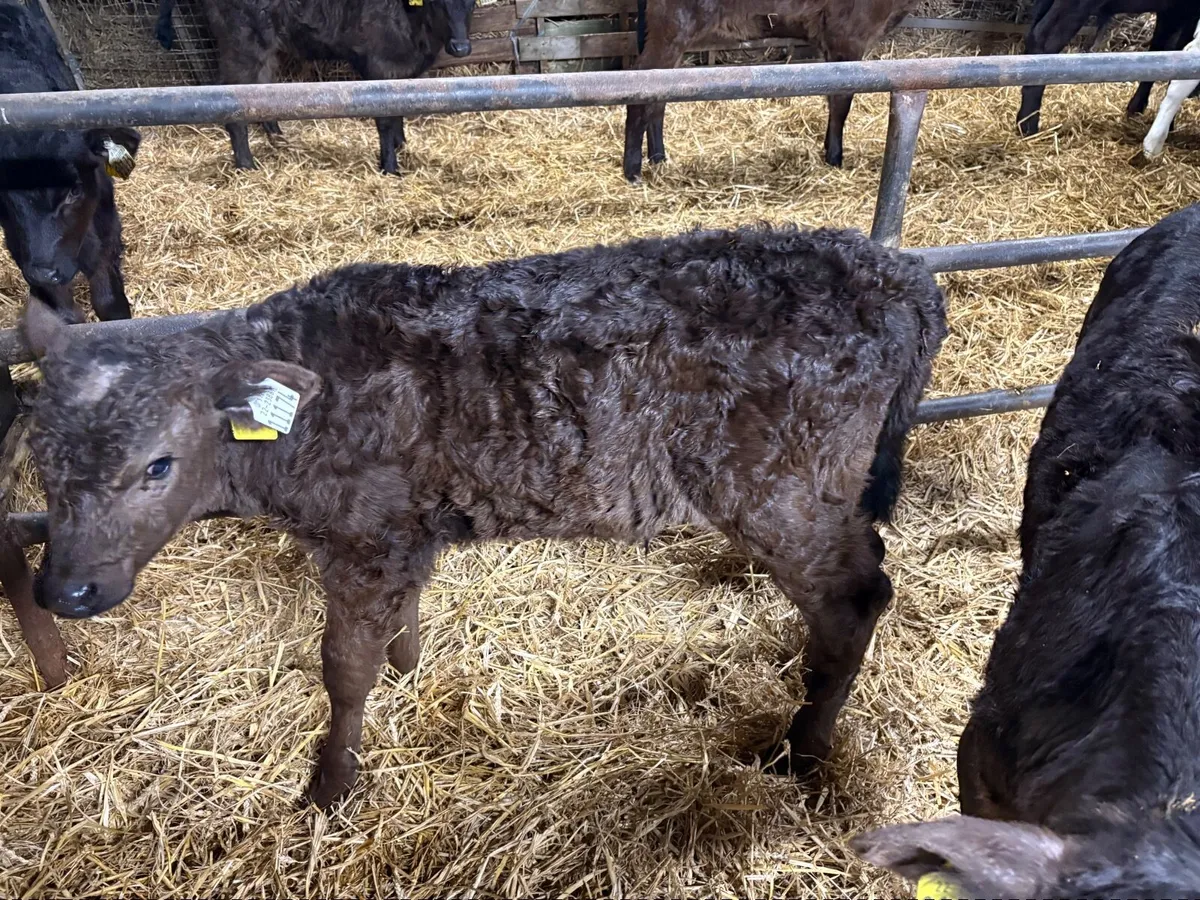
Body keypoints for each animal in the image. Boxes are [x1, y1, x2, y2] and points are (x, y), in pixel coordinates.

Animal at [0, 0, 141, 324]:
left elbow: (110, 302)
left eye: (75, 191)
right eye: (3, 193)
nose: (43, 273)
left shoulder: (105, 224)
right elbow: (64, 315)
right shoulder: (18, 245)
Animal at [23, 224, 946, 808]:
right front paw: (408, 672)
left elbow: (342, 668)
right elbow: (398, 628)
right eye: (37, 458)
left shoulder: (362, 538)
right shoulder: (403, 532)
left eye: (158, 466)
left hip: (783, 494)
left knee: (856, 596)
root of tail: (893, 270)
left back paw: (802, 749)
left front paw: (330, 786)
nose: (63, 592)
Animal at [153, 0, 476, 174]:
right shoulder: (379, 65)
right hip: (243, 45)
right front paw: (390, 167)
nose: (461, 47)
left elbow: (401, 111)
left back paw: (279, 140)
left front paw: (401, 146)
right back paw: (247, 165)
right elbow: (385, 118)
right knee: (232, 101)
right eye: (438, 1)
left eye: (471, 2)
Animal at [622, 0, 916, 183]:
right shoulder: (847, 37)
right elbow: (842, 101)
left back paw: (659, 159)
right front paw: (835, 159)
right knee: (639, 85)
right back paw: (632, 172)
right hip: (671, 28)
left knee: (660, 94)